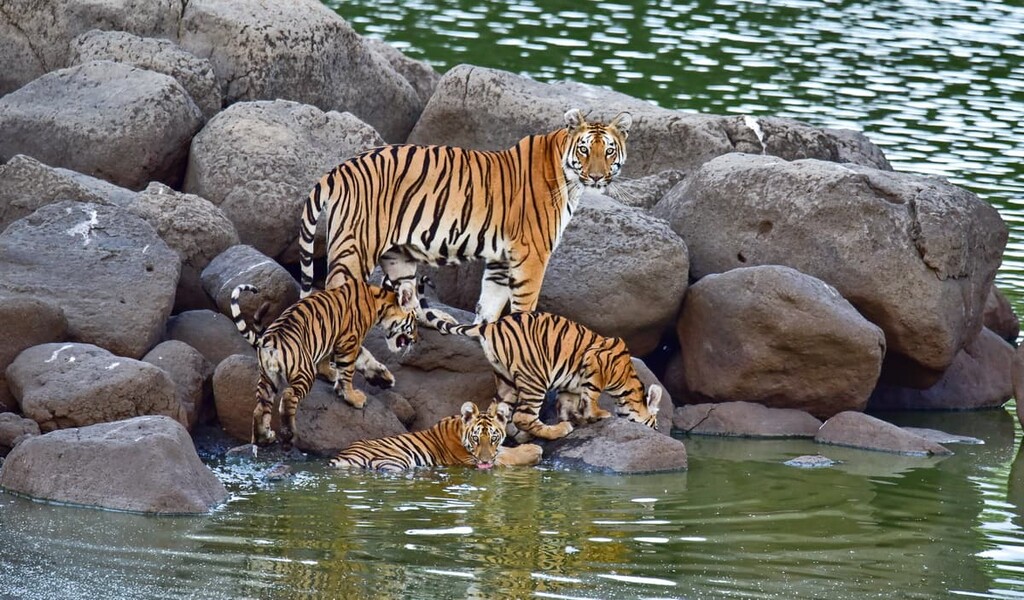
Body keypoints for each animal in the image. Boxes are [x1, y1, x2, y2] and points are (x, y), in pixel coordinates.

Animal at [229, 279, 417, 449]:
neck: (378, 301)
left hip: (268, 378)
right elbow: (348, 372)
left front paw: (383, 378)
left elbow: (363, 358)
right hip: (304, 371)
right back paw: (289, 436)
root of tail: (270, 339)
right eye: (414, 322)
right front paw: (352, 397)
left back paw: (263, 438)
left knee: (260, 408)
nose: (416, 340)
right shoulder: (349, 341)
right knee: (288, 397)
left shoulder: (337, 341)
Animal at [298, 108, 632, 323]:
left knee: (405, 298)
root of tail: (340, 168)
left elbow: (489, 306)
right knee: (333, 296)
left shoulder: (502, 258)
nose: (597, 177)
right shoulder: (532, 255)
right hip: (357, 247)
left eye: (609, 151)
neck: (568, 180)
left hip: (397, 256)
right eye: (585, 150)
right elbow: (524, 306)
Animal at [329, 401, 543, 472]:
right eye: (475, 439)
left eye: (493, 438)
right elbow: (507, 457)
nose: (484, 462)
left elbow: (503, 451)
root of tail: (342, 456)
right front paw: (535, 451)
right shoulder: (468, 460)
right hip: (396, 459)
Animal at [425, 310, 662, 442]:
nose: (658, 432)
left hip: (507, 381)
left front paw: (577, 418)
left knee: (502, 411)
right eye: (655, 425)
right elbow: (592, 396)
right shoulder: (596, 362)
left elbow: (569, 403)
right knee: (523, 416)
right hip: (535, 377)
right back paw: (556, 431)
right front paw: (597, 415)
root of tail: (492, 325)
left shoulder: (571, 386)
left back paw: (523, 435)